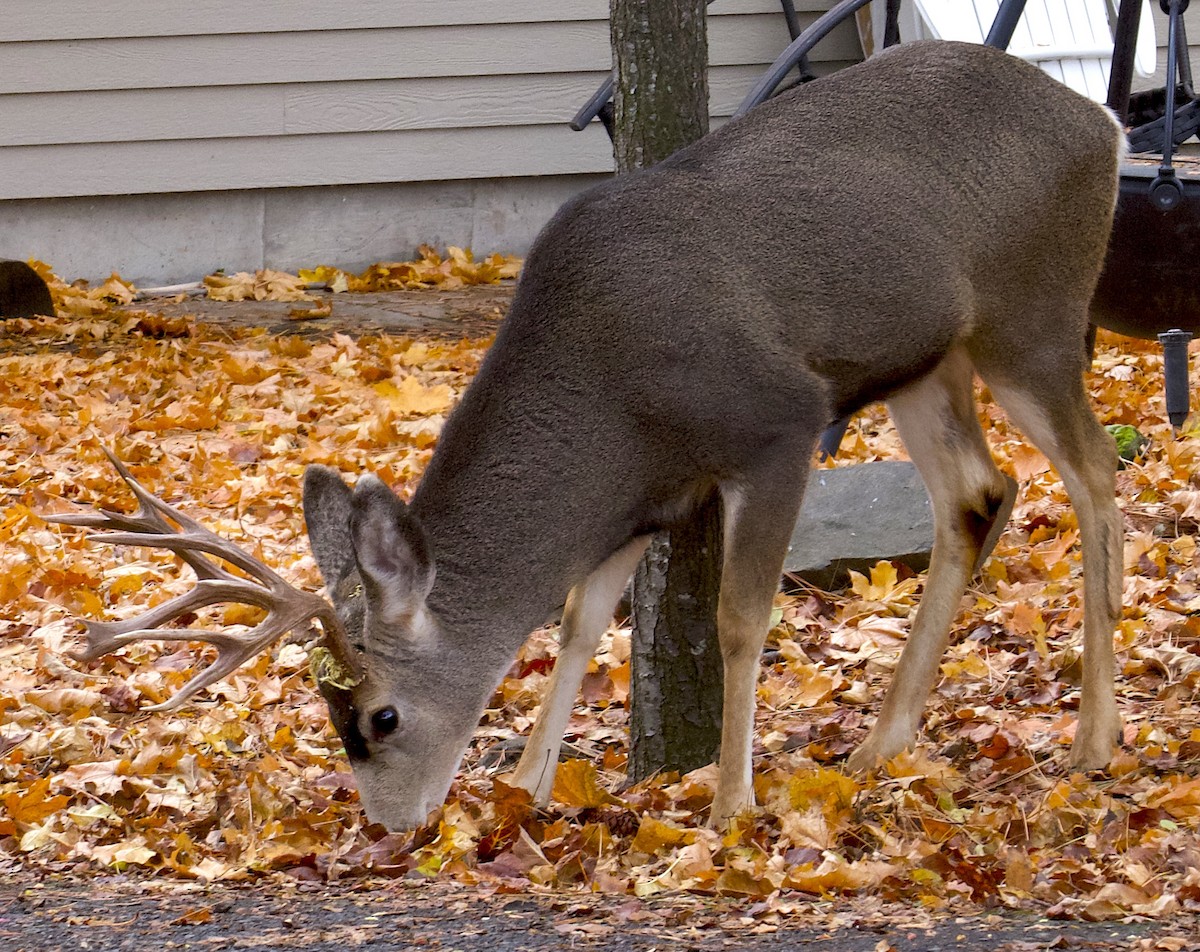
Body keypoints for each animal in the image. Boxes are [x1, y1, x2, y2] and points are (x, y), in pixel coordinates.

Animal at [52, 40, 1127, 832]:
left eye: (379, 715)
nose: (387, 827)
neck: (612, 390)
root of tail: (1103, 122)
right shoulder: (640, 496)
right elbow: (576, 621)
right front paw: (527, 784)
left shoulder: (773, 426)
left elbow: (741, 620)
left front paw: (730, 804)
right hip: (930, 359)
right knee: (979, 494)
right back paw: (881, 742)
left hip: (1034, 313)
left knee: (1094, 477)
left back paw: (1094, 740)